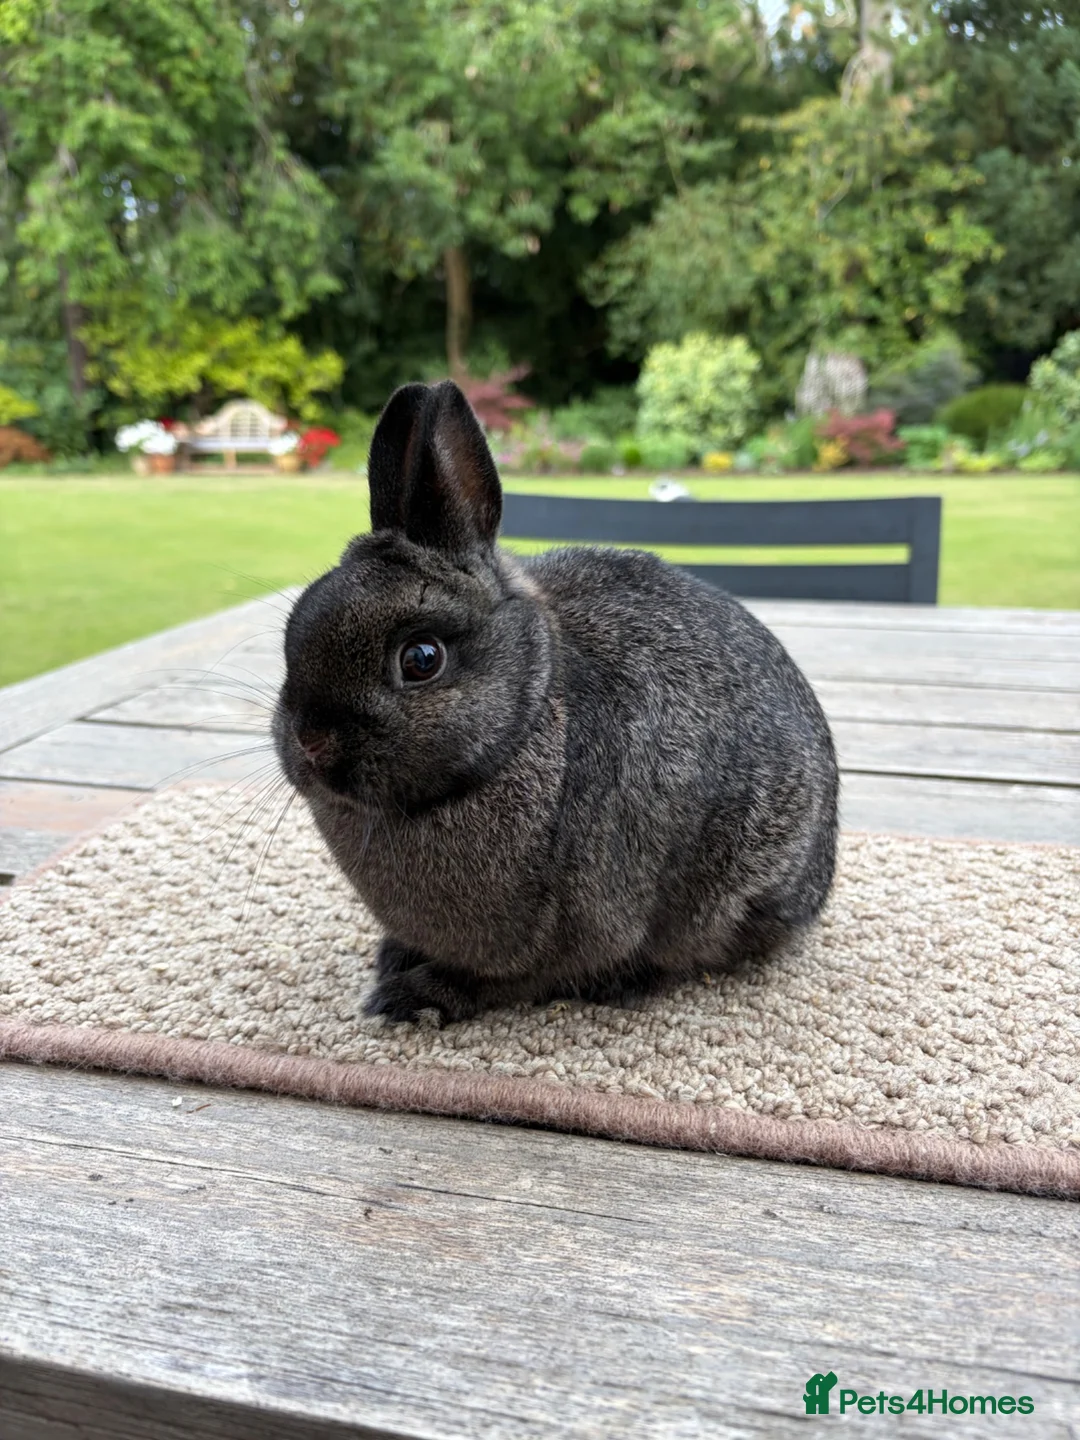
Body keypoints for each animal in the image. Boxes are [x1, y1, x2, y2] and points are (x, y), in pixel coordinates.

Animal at [273, 379, 839, 1024]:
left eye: (421, 658)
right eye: (291, 634)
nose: (311, 743)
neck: (528, 717)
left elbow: (510, 982)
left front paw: (412, 995)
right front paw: (394, 959)